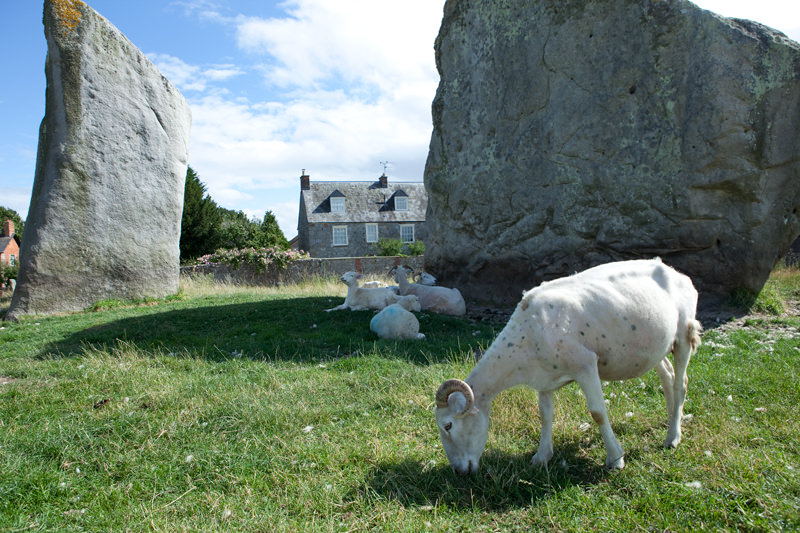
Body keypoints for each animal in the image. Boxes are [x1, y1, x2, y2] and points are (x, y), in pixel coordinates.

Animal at [434, 258, 704, 474]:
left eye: (448, 425)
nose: (459, 472)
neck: (526, 336)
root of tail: (677, 273)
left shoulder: (585, 365)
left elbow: (597, 412)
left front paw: (615, 459)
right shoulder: (544, 379)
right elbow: (545, 415)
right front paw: (541, 457)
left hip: (684, 334)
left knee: (681, 384)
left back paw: (673, 437)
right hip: (655, 346)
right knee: (667, 376)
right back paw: (671, 420)